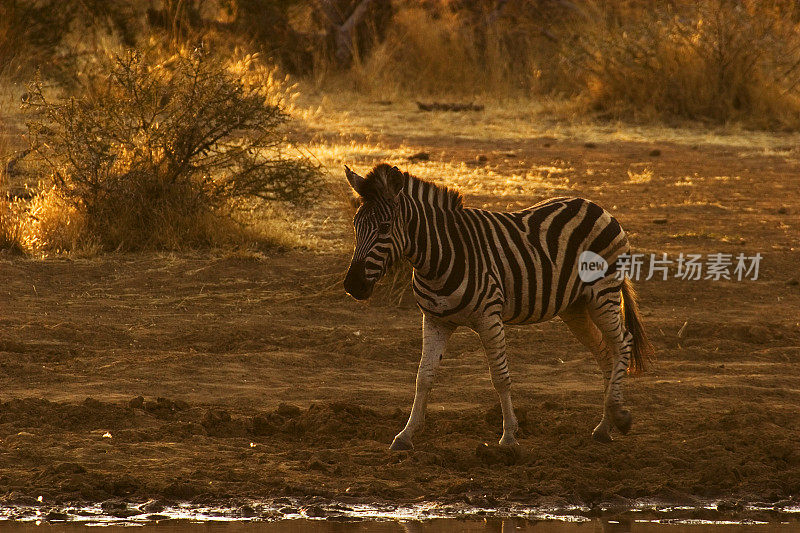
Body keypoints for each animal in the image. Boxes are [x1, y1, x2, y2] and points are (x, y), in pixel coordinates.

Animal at [340, 162, 652, 448]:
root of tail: (597, 206)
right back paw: (604, 426)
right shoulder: (435, 320)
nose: (352, 285)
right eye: (355, 225)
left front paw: (509, 437)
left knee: (622, 342)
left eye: (384, 227)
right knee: (605, 353)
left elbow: (500, 377)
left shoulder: (489, 317)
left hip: (603, 293)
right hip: (574, 307)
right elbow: (423, 377)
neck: (439, 257)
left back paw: (620, 416)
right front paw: (405, 435)